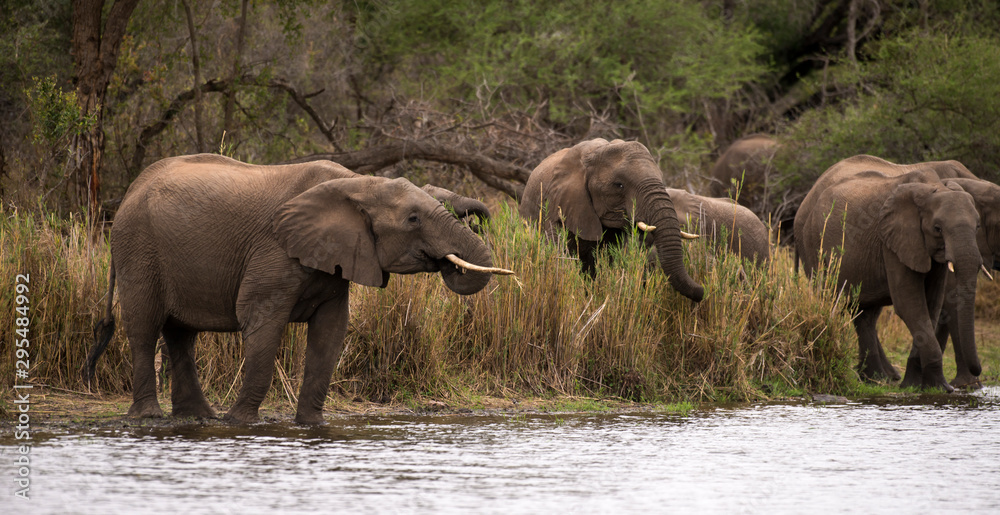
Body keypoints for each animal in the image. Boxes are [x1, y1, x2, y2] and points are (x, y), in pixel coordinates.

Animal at [83, 154, 511, 425]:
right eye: (413, 219)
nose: (479, 219)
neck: (356, 182)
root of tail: (130, 192)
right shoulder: (273, 250)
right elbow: (261, 324)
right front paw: (240, 424)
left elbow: (331, 332)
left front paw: (312, 425)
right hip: (138, 248)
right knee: (145, 327)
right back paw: (151, 417)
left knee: (180, 334)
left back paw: (198, 417)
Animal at [794, 158, 983, 392]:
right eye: (937, 228)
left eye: (978, 226)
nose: (978, 371)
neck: (933, 187)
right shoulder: (892, 242)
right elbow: (909, 304)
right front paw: (939, 388)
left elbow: (931, 304)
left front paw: (915, 385)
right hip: (813, 246)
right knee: (832, 301)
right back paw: (877, 378)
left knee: (863, 313)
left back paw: (875, 379)